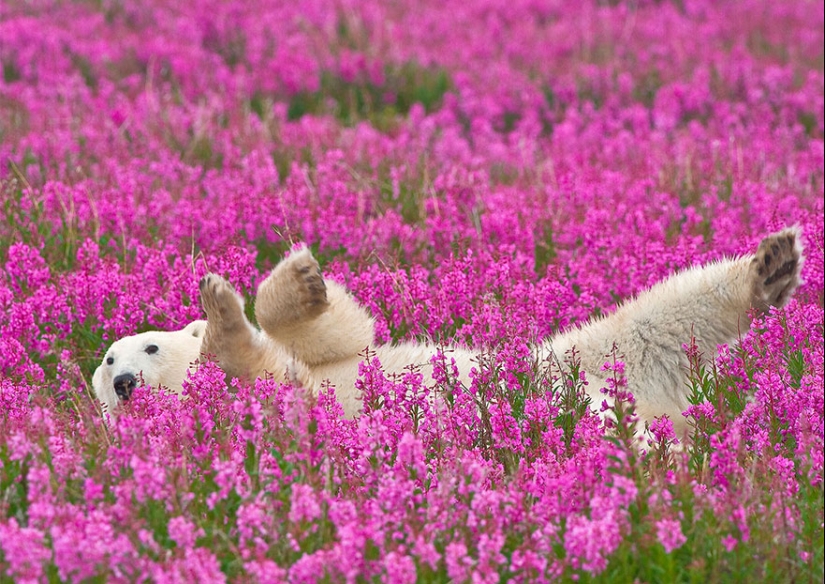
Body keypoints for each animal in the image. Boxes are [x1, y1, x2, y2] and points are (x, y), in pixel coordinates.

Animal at [91, 226, 804, 436]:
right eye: (106, 363)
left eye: (144, 345)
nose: (124, 382)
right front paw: (222, 315)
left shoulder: (321, 362)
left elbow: (342, 335)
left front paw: (286, 281)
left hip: (576, 359)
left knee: (660, 315)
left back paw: (771, 264)